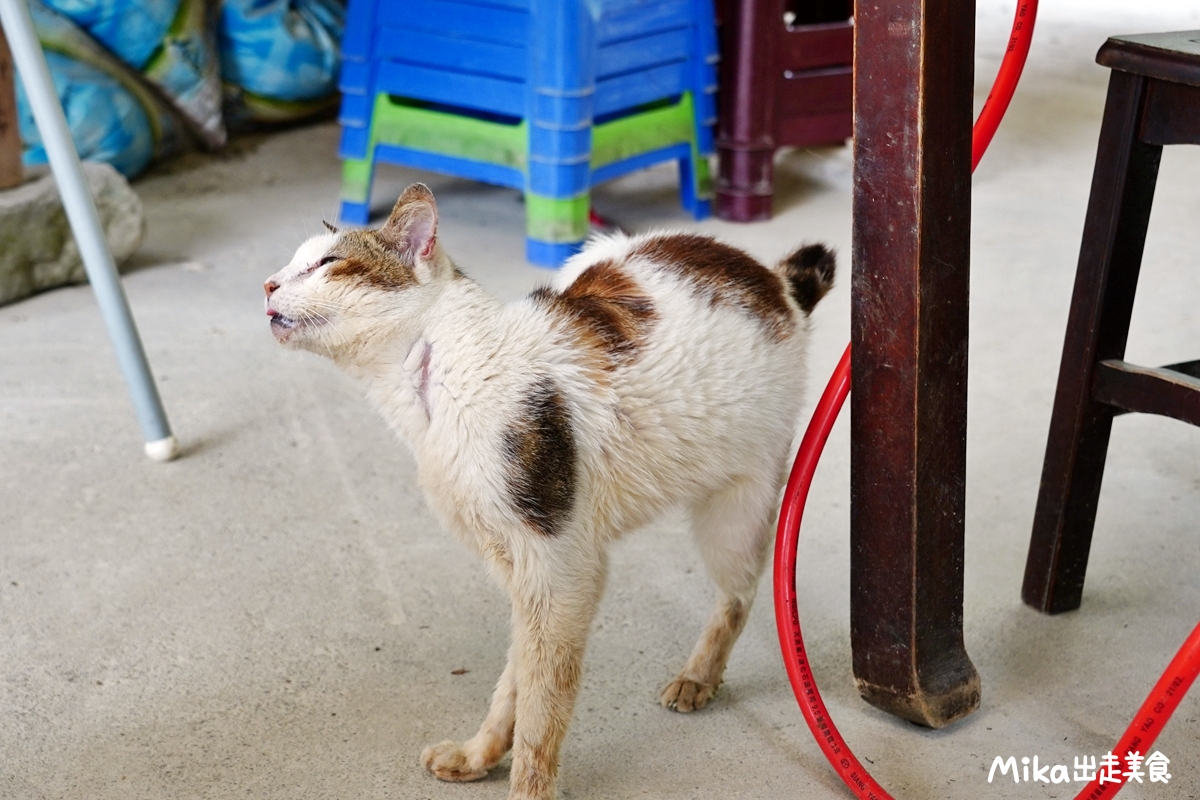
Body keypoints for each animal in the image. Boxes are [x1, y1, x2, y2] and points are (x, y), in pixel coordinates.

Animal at [264, 184, 835, 800]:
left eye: (327, 263)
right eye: (291, 264)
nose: (268, 284)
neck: (433, 382)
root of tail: (771, 278)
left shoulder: (562, 569)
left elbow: (543, 704)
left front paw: (526, 786)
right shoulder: (518, 567)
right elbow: (516, 677)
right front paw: (479, 755)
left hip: (736, 510)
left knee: (740, 594)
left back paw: (698, 676)